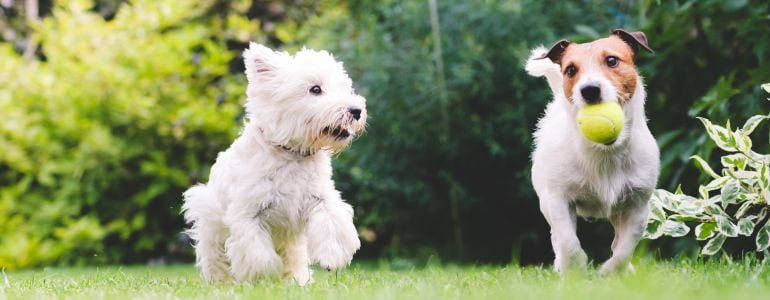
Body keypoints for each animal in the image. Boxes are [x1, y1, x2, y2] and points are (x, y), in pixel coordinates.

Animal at [182, 43, 364, 284]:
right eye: (315, 89)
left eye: (345, 88)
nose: (356, 111)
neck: (291, 153)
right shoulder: (248, 213)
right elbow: (259, 255)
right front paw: (264, 277)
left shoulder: (319, 198)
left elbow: (331, 222)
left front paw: (331, 257)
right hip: (211, 224)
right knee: (215, 257)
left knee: (293, 259)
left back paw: (297, 280)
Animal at [524, 29, 656, 274]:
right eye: (570, 70)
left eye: (612, 60)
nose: (589, 90)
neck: (605, 151)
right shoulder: (558, 200)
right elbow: (568, 240)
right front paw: (574, 269)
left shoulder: (638, 205)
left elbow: (626, 247)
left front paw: (611, 271)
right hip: (545, 201)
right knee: (557, 236)